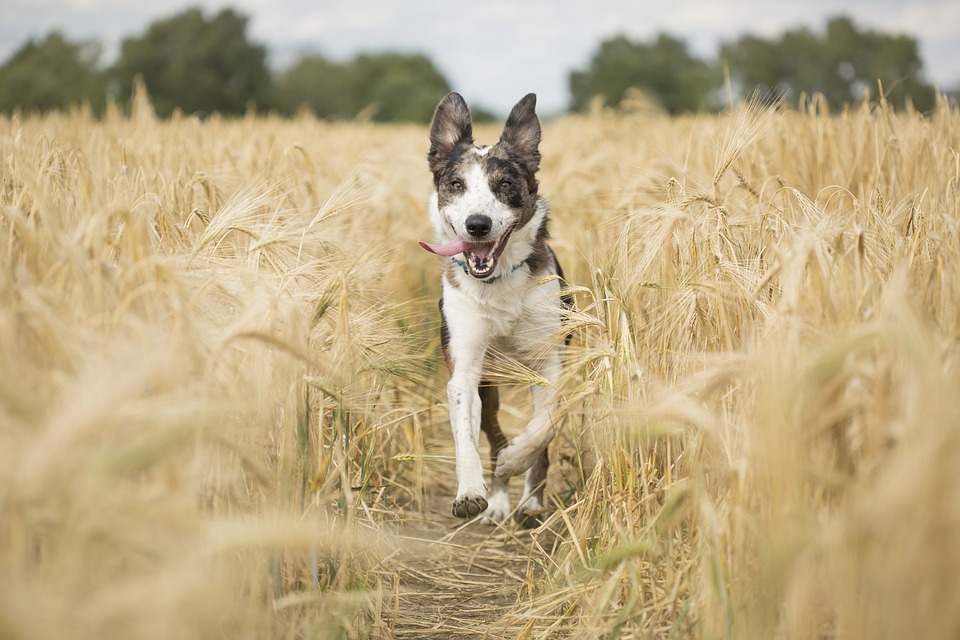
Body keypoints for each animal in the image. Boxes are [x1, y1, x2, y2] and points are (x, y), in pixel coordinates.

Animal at [416, 95, 568, 524]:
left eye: (506, 185)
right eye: (456, 185)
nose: (477, 225)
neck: (497, 284)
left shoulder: (551, 361)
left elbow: (544, 426)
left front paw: (518, 461)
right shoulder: (466, 370)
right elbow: (466, 434)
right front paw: (471, 491)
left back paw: (529, 499)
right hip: (491, 383)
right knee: (493, 433)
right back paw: (498, 501)